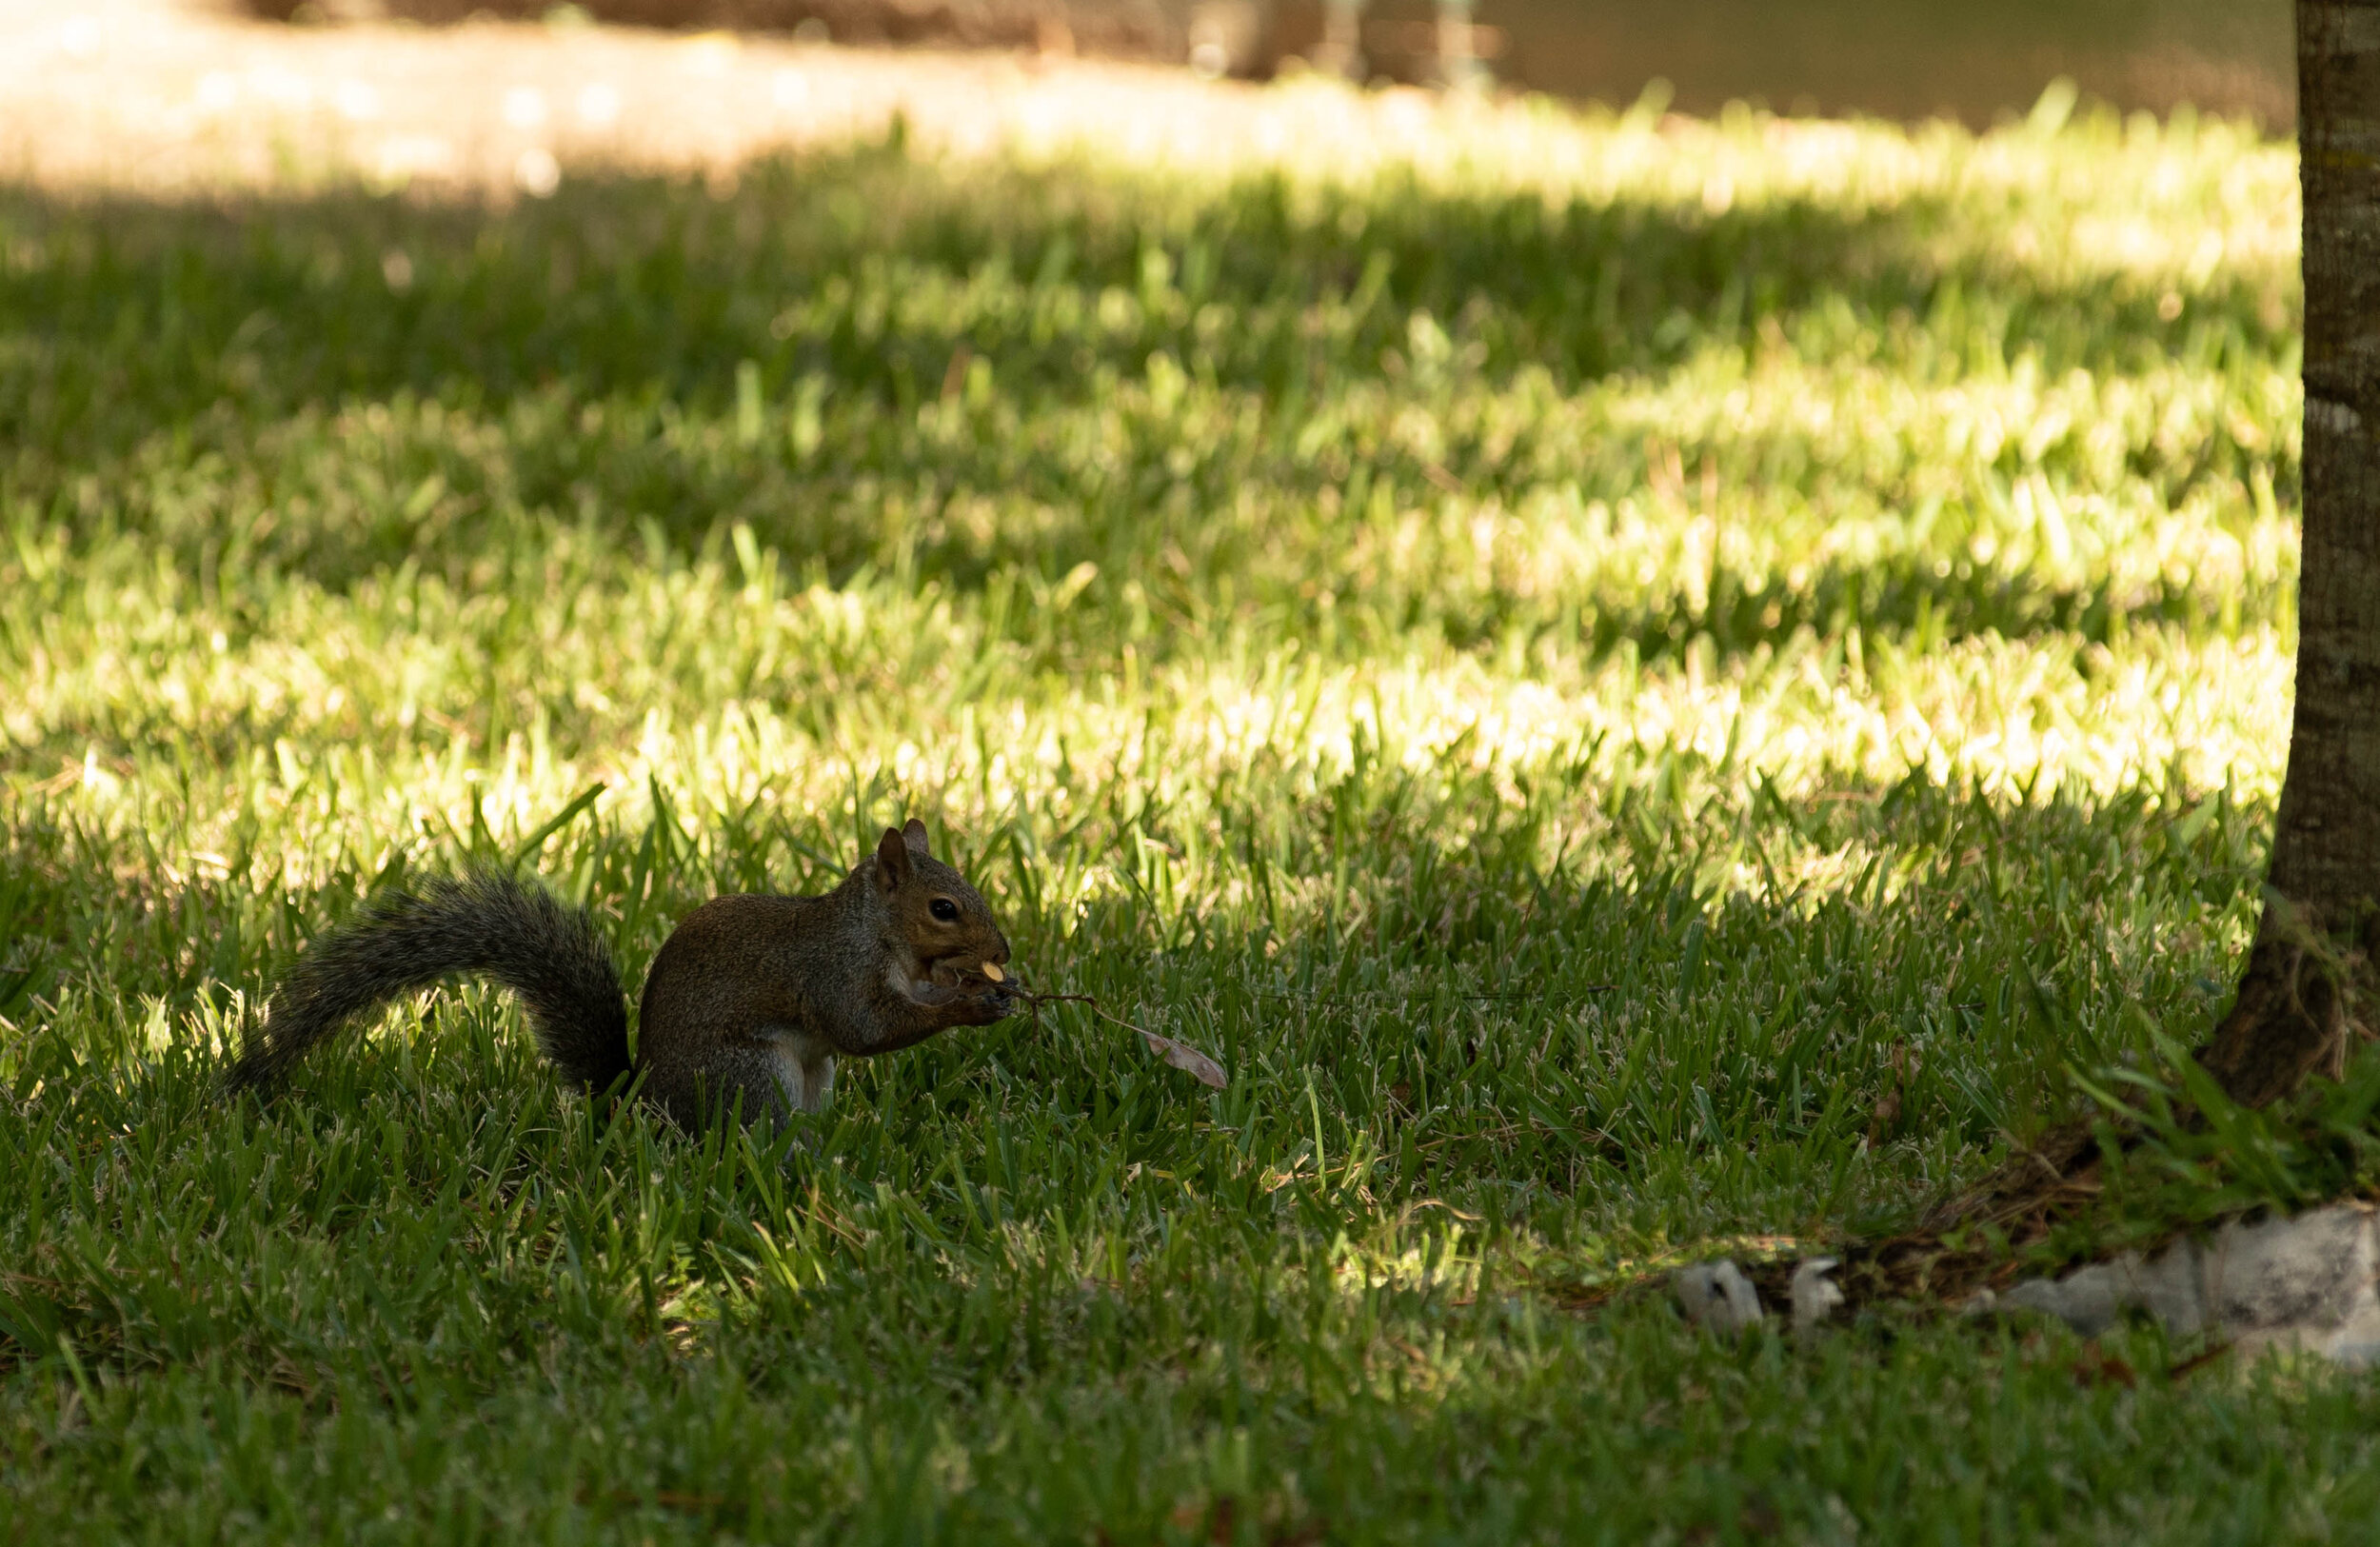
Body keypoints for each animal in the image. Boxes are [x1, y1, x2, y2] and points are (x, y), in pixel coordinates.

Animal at [226, 819, 1018, 1130]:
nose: (1005, 951)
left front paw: (983, 990)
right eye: (943, 907)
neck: (878, 934)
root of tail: (642, 1104)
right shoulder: (833, 972)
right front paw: (970, 1004)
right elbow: (864, 1028)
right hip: (751, 1076)